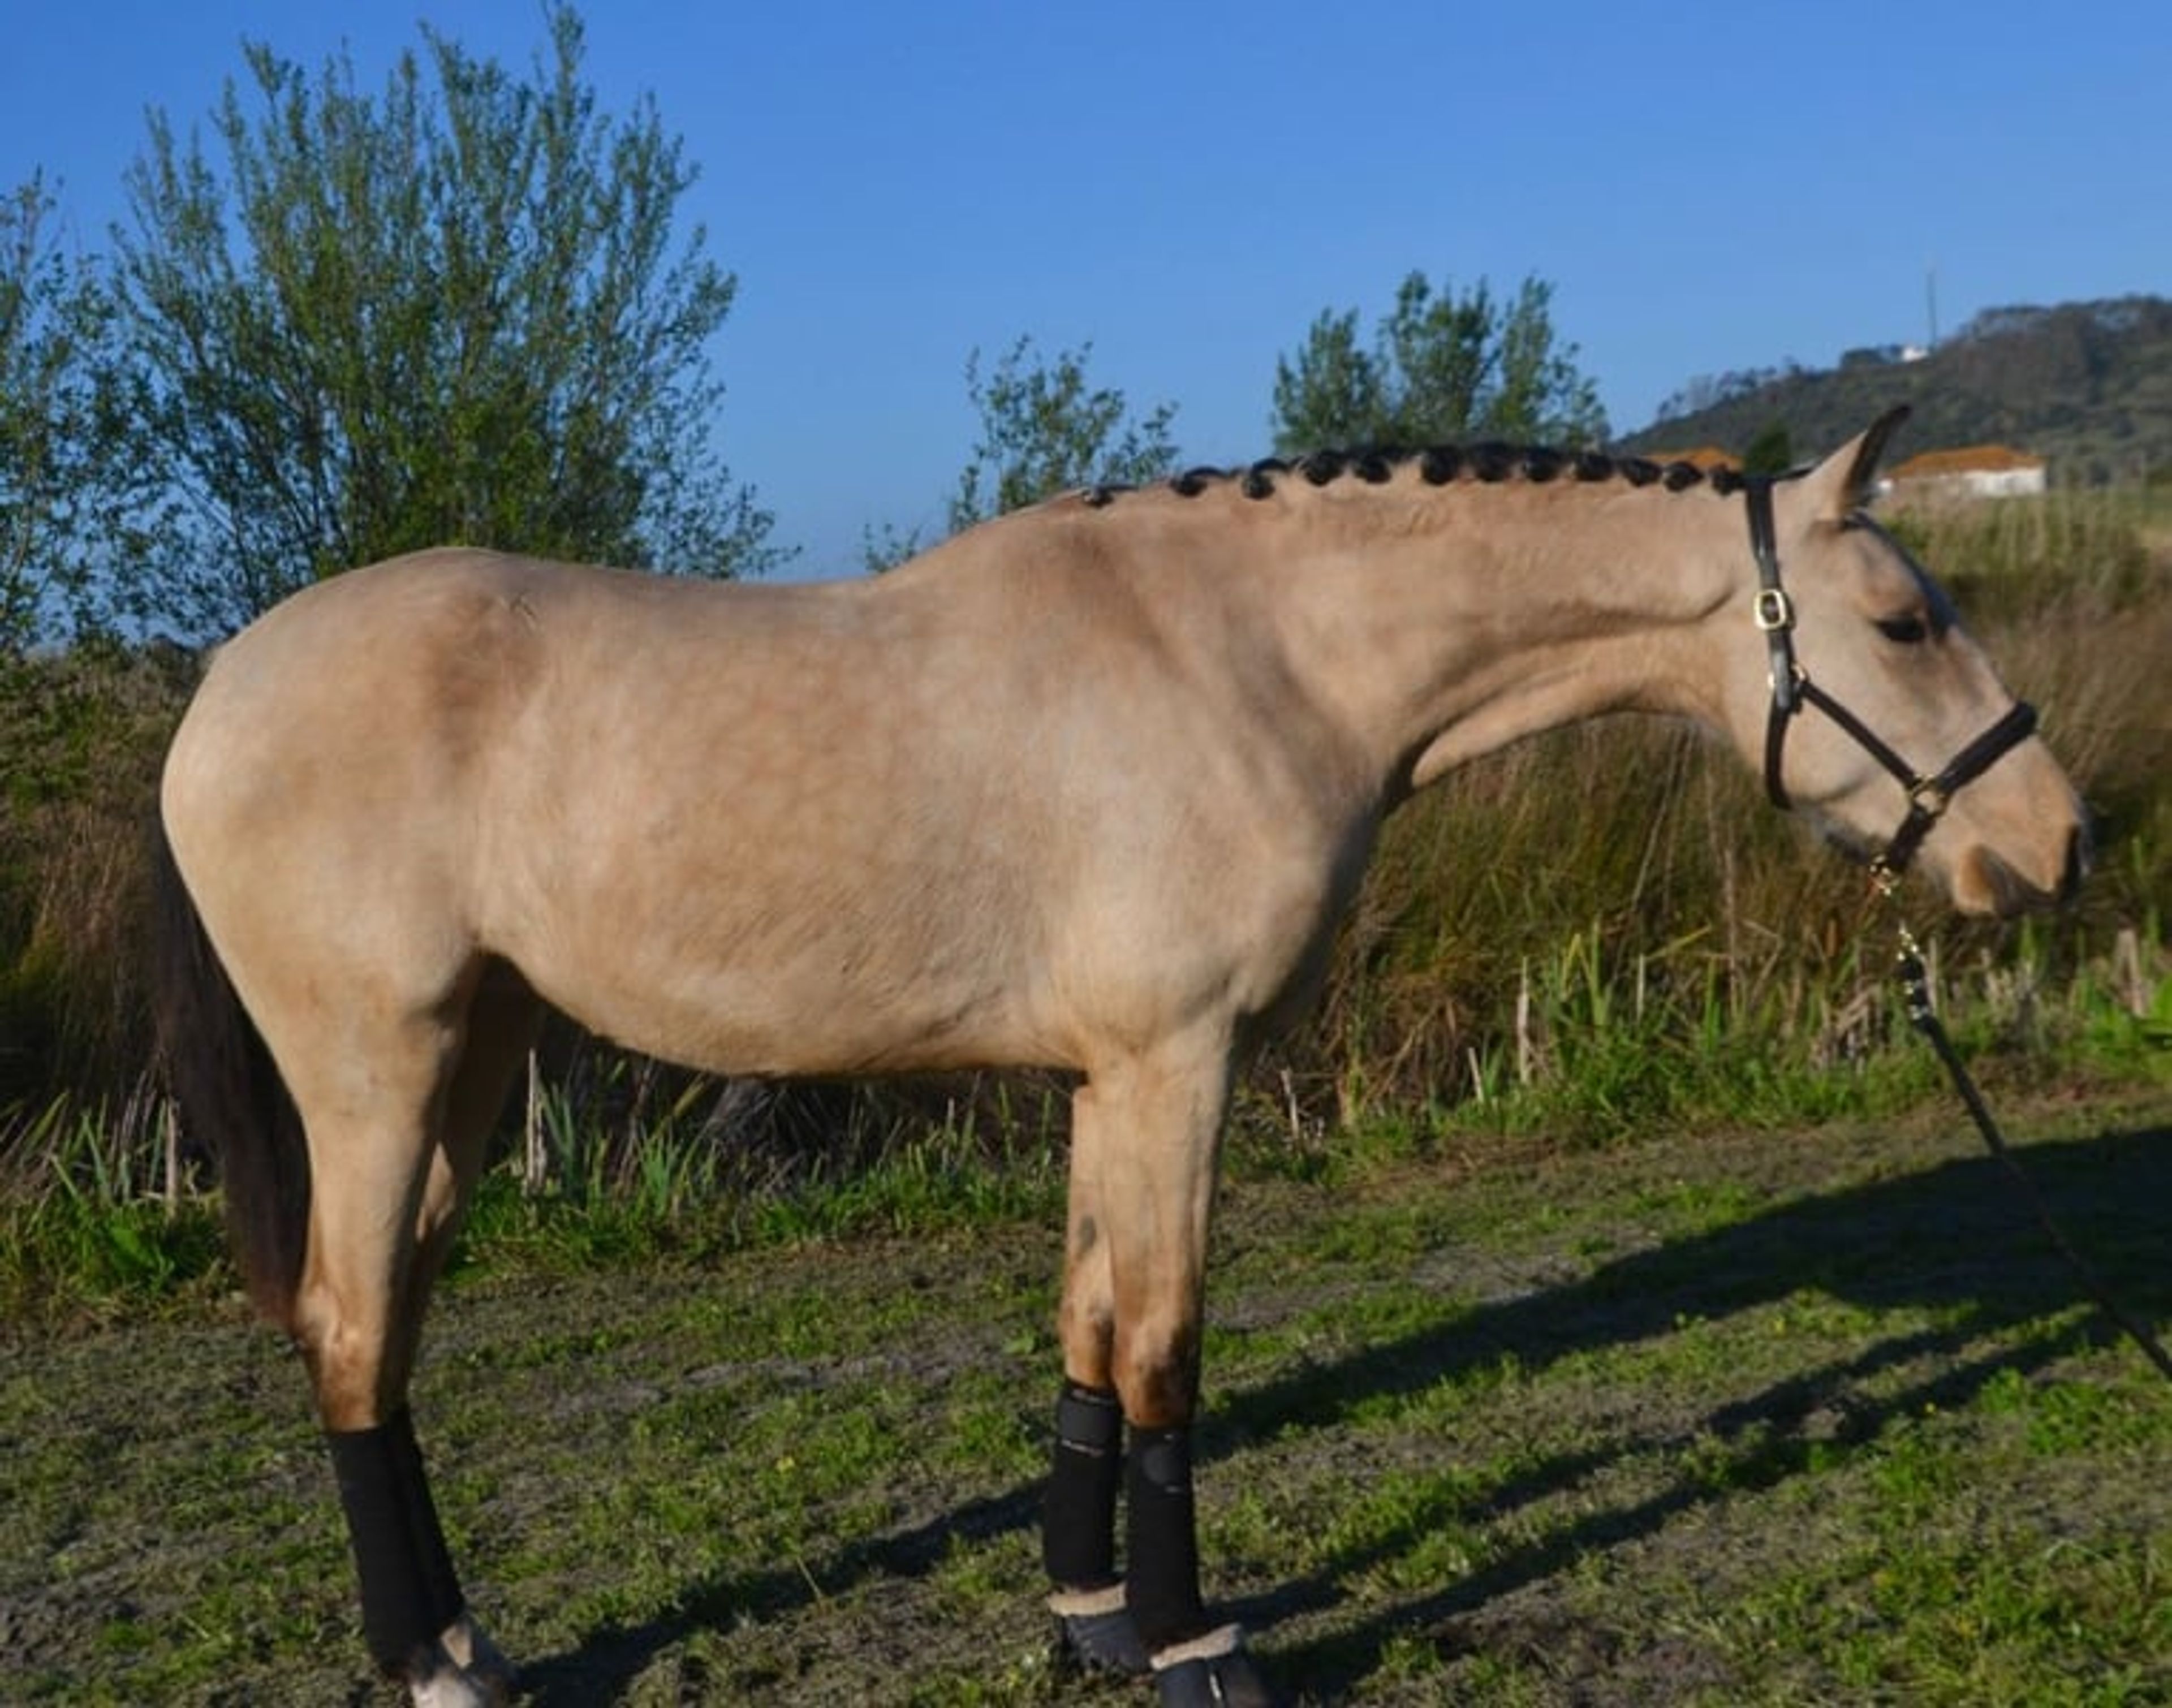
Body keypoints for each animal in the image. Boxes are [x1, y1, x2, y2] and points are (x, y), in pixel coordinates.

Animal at [154, 407, 2084, 1707]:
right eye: (1904, 622)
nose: (2055, 842)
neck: (1254, 657)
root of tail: (218, 690)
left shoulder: (1111, 1078)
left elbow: (1087, 1327)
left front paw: (1086, 1614)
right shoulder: (1179, 1064)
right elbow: (1165, 1348)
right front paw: (1187, 1640)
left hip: (471, 1069)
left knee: (383, 1330)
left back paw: (459, 1638)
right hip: (380, 1075)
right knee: (351, 1334)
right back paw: (429, 1662)